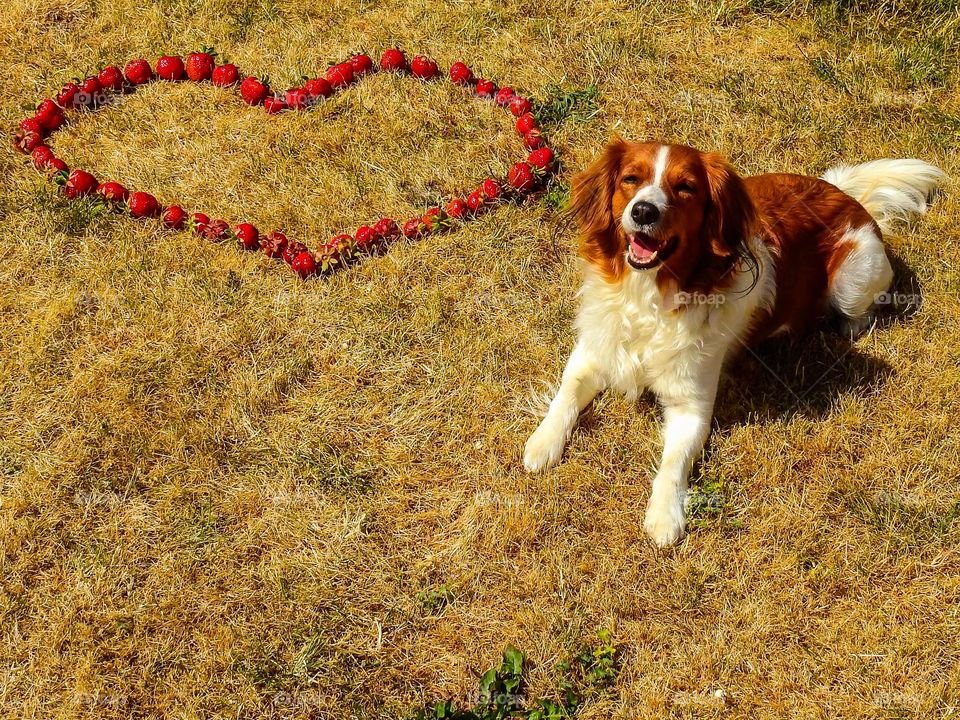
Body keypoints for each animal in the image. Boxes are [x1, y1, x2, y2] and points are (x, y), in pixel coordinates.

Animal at [520, 139, 940, 544]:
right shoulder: (594, 349)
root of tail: (844, 194)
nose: (643, 212)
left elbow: (673, 463)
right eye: (631, 179)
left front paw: (664, 516)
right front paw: (542, 443)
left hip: (853, 280)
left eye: (685, 187)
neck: (649, 297)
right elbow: (566, 393)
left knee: (859, 310)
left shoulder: (692, 407)